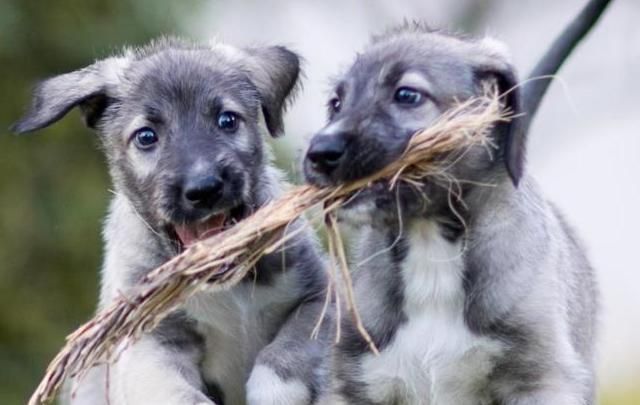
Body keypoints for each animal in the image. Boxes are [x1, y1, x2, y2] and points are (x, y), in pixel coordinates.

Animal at [12, 37, 328, 400]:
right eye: (146, 136)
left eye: (227, 120)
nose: (204, 188)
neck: (228, 289)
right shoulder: (150, 345)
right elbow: (181, 394)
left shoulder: (321, 297)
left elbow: (286, 353)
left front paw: (273, 393)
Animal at [302, 1, 608, 402]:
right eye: (336, 104)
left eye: (407, 95)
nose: (319, 153)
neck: (429, 242)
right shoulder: (353, 384)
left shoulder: (541, 380)